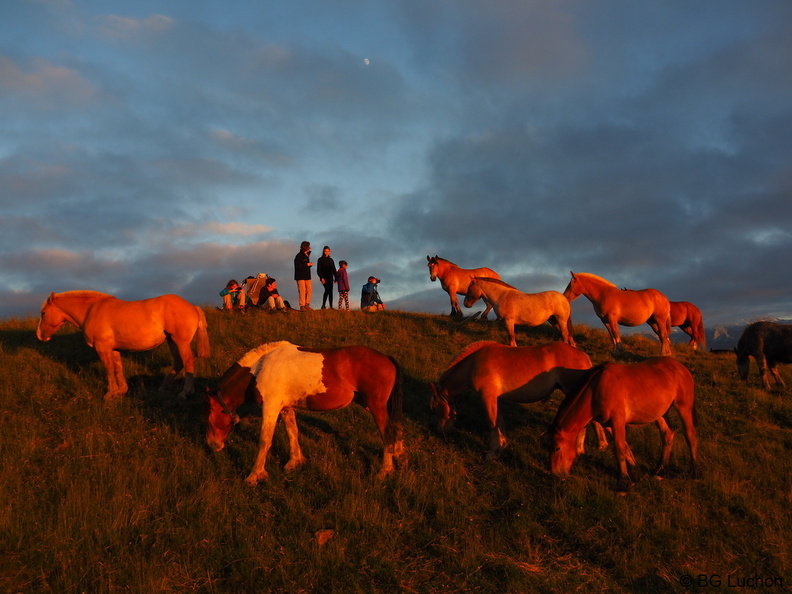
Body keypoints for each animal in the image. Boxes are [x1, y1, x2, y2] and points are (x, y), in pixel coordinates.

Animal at [36, 290, 210, 398]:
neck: (91, 310)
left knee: (188, 361)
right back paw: (163, 388)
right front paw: (121, 391)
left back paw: (185, 392)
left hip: (180, 342)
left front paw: (110, 394)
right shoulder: (114, 349)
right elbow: (117, 368)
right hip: (171, 340)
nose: (40, 336)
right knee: (179, 362)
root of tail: (192, 307)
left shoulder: (102, 348)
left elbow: (108, 369)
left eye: (43, 313)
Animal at [204, 340, 406, 484]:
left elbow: (265, 440)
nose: (212, 444)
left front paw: (255, 475)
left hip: (376, 407)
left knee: (388, 433)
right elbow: (293, 432)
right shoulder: (286, 408)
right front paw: (295, 461)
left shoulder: (270, 407)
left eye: (211, 410)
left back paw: (385, 471)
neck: (260, 368)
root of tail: (386, 358)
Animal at [430, 338, 608, 458]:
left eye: (434, 408)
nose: (440, 432)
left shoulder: (487, 397)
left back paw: (586, 447)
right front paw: (502, 445)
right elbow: (499, 422)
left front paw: (492, 452)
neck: (473, 363)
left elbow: (492, 423)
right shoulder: (495, 399)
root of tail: (583, 355)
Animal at [548, 356, 696, 490]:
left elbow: (619, 448)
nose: (555, 474)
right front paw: (636, 473)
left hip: (683, 407)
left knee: (690, 435)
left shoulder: (617, 419)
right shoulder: (607, 424)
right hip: (659, 414)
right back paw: (659, 470)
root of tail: (680, 367)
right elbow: (625, 447)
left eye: (557, 448)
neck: (596, 388)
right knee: (667, 435)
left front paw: (623, 482)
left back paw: (694, 471)